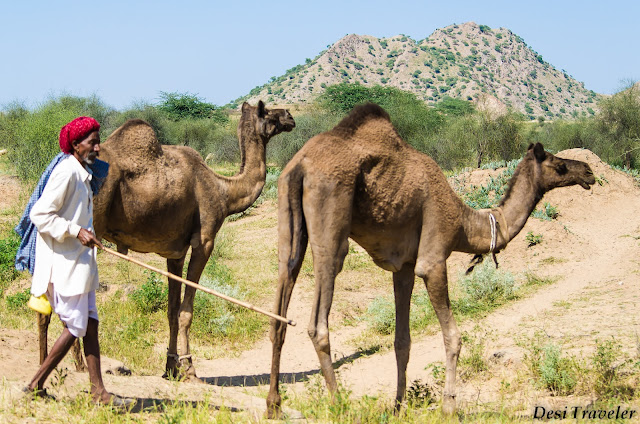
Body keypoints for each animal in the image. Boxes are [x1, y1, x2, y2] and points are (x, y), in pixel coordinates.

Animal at [38, 101, 295, 381]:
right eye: (268, 112)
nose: (290, 116)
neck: (224, 191)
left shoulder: (175, 253)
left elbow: (172, 310)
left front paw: (171, 367)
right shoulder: (204, 241)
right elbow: (186, 310)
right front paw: (189, 367)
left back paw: (51, 364)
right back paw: (76, 366)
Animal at [265, 103, 595, 417]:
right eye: (560, 166)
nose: (589, 171)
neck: (464, 221)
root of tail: (301, 165)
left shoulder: (405, 266)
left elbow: (402, 341)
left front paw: (398, 406)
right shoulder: (433, 258)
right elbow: (453, 337)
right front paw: (449, 407)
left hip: (287, 216)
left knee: (280, 306)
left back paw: (274, 405)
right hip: (331, 216)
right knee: (318, 322)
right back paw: (340, 405)